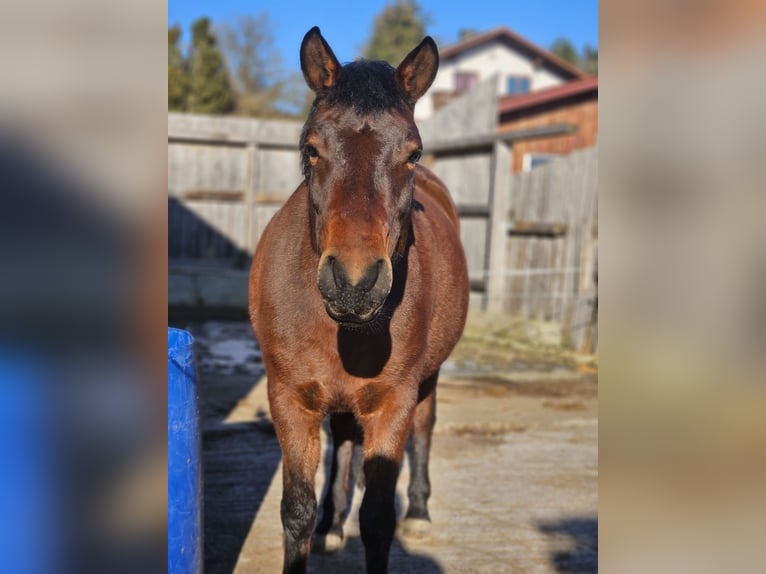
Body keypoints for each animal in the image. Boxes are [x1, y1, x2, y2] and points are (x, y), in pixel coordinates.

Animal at [249, 27, 472, 574]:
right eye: (312, 148)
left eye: (413, 153)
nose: (354, 283)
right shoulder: (290, 400)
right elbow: (297, 510)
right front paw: (323, 523)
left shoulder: (392, 403)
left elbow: (376, 519)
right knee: (346, 440)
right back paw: (333, 523)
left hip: (427, 380)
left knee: (425, 428)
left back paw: (419, 510)